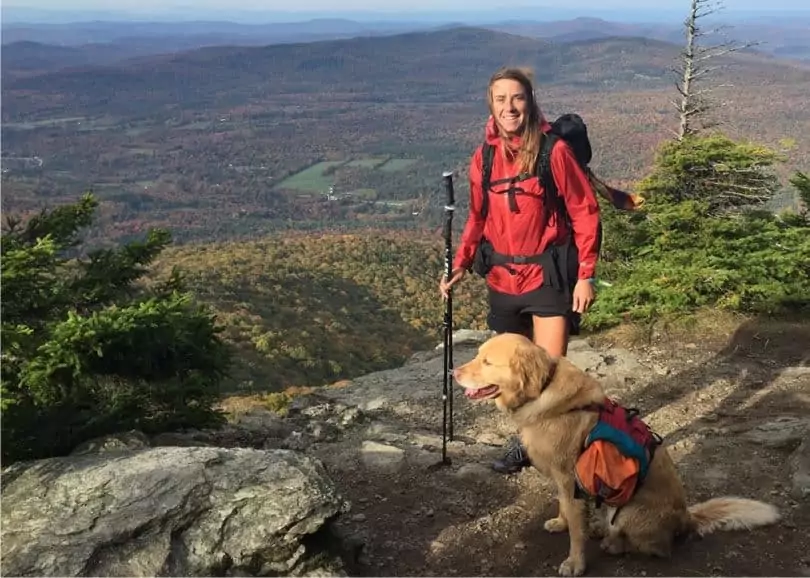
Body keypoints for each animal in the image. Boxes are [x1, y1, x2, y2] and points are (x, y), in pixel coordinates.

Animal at [452, 330, 780, 572]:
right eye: (477, 355)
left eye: (487, 362)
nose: (454, 372)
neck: (543, 391)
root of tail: (687, 517)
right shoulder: (563, 480)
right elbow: (565, 510)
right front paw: (560, 522)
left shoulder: (569, 479)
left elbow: (576, 531)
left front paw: (575, 562)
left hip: (629, 514)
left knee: (654, 548)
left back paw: (612, 543)